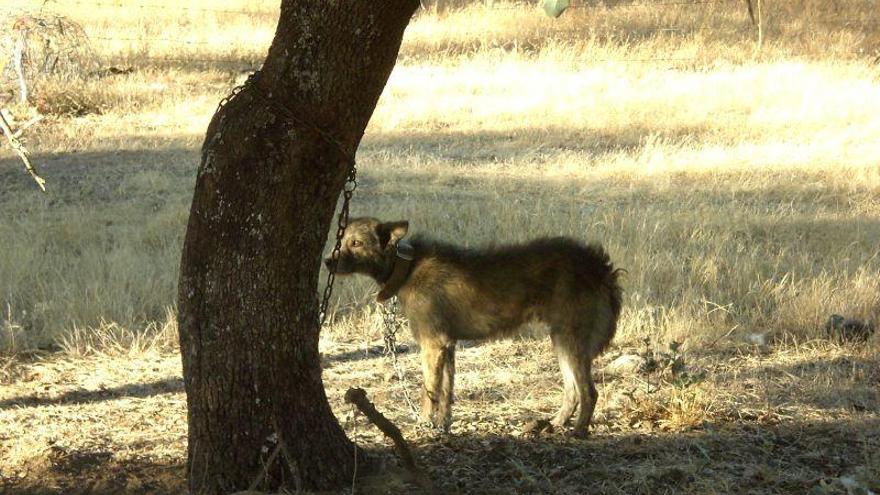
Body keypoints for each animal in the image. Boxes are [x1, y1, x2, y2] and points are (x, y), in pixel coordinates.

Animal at [326, 217, 624, 434]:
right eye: (341, 240)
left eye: (356, 243)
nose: (328, 261)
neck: (407, 267)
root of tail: (599, 264)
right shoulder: (447, 345)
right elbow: (446, 393)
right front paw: (443, 426)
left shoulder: (432, 345)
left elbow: (428, 393)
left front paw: (424, 426)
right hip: (561, 340)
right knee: (572, 391)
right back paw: (556, 425)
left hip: (570, 340)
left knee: (589, 392)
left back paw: (578, 432)